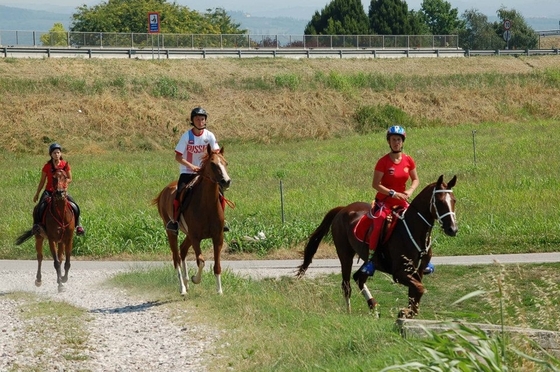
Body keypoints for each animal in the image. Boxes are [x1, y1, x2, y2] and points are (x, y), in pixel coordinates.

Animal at [152, 145, 231, 296]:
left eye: (226, 163)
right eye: (213, 164)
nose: (226, 181)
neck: (207, 205)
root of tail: (163, 192)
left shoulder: (218, 237)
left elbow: (217, 265)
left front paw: (219, 290)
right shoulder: (195, 238)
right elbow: (201, 261)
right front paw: (196, 279)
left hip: (188, 235)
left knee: (182, 250)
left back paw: (186, 281)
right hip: (171, 232)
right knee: (176, 257)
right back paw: (183, 288)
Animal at [296, 176, 458, 318]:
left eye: (454, 200)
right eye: (440, 201)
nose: (453, 229)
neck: (413, 230)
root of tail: (343, 209)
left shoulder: (417, 272)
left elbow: (415, 292)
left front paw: (409, 312)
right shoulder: (399, 273)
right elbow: (419, 288)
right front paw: (406, 312)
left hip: (370, 261)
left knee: (359, 277)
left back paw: (373, 306)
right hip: (345, 254)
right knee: (346, 285)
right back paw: (350, 311)